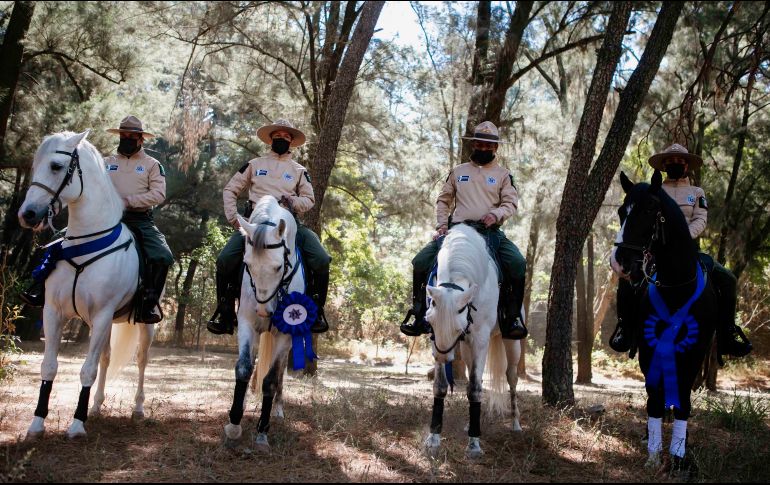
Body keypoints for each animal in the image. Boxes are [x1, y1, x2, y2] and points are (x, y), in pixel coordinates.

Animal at [17, 131, 153, 439]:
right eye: (34, 165)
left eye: (56, 166)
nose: (27, 215)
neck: (85, 244)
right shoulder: (54, 312)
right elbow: (49, 367)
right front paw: (37, 423)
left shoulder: (102, 315)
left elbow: (87, 370)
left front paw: (77, 425)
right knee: (106, 357)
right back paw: (97, 406)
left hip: (144, 324)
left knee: (141, 359)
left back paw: (138, 409)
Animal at [223, 195, 305, 449]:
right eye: (247, 263)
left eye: (278, 266)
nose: (263, 311)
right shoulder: (247, 324)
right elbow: (243, 367)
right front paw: (234, 424)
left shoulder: (284, 334)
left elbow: (270, 380)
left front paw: (262, 433)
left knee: (280, 371)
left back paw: (277, 409)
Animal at [423, 223, 522, 458]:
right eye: (430, 323)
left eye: (457, 328)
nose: (443, 357)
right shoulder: (439, 342)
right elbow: (440, 386)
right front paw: (433, 438)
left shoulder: (479, 340)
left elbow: (475, 388)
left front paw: (474, 444)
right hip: (467, 350)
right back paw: (470, 424)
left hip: (511, 344)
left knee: (512, 378)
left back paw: (515, 424)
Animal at [612, 170, 717, 469]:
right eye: (621, 212)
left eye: (649, 209)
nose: (620, 261)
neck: (677, 289)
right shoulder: (650, 350)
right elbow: (654, 399)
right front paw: (654, 453)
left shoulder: (694, 352)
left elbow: (683, 402)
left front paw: (678, 455)